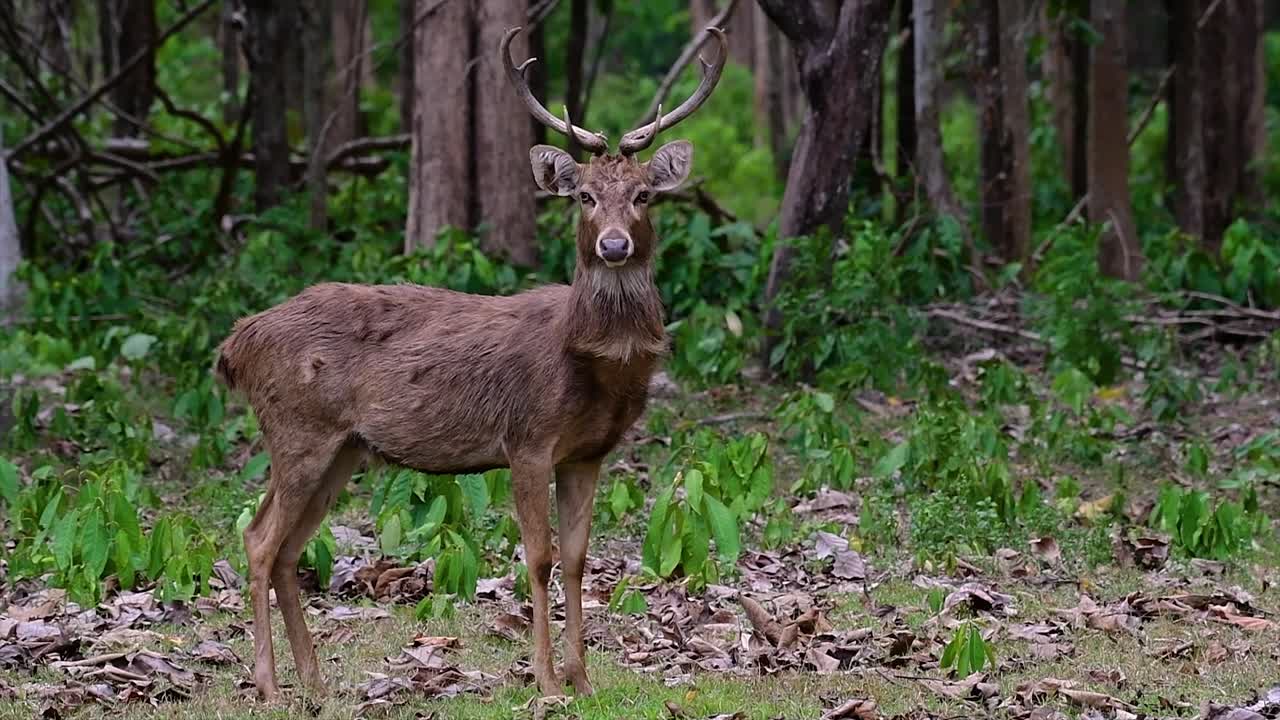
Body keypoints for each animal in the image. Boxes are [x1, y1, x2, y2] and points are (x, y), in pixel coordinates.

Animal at [214, 25, 728, 702]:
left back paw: (316, 683)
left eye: (644, 195)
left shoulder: (588, 453)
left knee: (287, 549)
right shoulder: (528, 437)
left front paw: (583, 680)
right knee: (256, 538)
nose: (613, 244)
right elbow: (538, 558)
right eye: (585, 197)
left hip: (342, 447)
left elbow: (578, 559)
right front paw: (546, 682)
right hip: (297, 428)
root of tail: (236, 344)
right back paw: (272, 686)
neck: (592, 364)